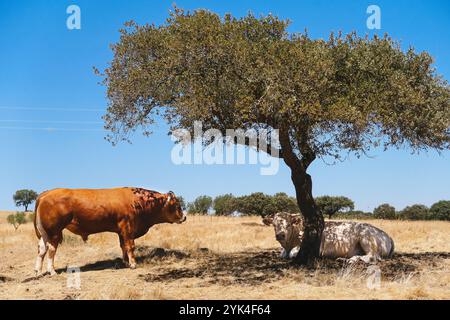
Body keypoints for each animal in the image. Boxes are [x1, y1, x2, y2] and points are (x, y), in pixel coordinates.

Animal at [33, 188, 185, 276]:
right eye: (177, 205)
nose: (184, 217)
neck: (138, 201)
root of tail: (45, 194)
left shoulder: (121, 231)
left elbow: (123, 246)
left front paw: (125, 262)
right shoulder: (128, 227)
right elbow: (130, 246)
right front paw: (133, 264)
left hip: (44, 233)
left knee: (41, 250)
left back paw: (38, 271)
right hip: (54, 232)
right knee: (51, 250)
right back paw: (52, 271)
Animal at [262, 212, 396, 262]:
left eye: (288, 224)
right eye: (274, 224)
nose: (280, 235)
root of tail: (387, 235)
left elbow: (291, 254)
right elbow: (282, 254)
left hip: (366, 238)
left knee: (372, 257)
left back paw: (352, 260)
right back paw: (343, 259)